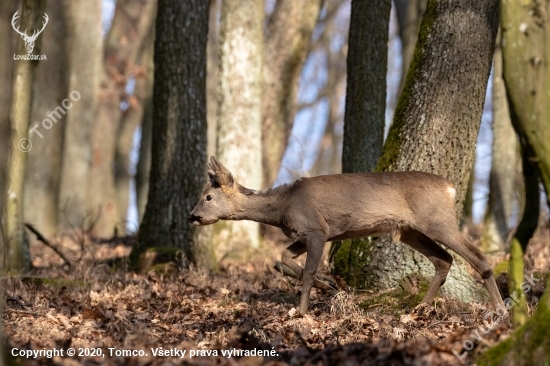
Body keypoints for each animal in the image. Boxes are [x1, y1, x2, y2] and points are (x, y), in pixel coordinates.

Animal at [190, 156, 504, 314]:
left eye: (207, 197)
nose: (192, 216)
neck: (283, 206)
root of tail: (450, 187)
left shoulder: (317, 229)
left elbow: (307, 271)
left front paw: (301, 311)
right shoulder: (312, 235)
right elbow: (282, 258)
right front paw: (330, 286)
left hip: (437, 220)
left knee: (478, 258)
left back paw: (500, 311)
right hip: (410, 231)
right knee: (444, 260)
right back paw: (418, 308)